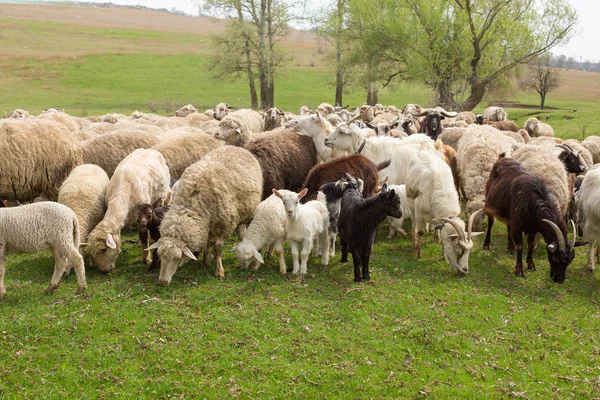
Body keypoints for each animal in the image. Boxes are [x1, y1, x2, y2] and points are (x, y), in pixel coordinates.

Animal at [148, 145, 262, 282]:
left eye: (177, 258)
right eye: (159, 256)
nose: (162, 282)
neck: (190, 207)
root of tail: (236, 147)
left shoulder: (223, 225)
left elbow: (218, 248)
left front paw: (219, 271)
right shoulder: (206, 226)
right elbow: (207, 243)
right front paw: (205, 260)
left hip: (249, 210)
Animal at [404, 144, 482, 272]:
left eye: (469, 252)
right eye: (458, 251)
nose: (465, 271)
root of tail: (425, 150)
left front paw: (444, 256)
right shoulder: (419, 211)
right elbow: (420, 232)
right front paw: (418, 253)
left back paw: (436, 237)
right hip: (411, 200)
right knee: (414, 221)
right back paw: (413, 241)